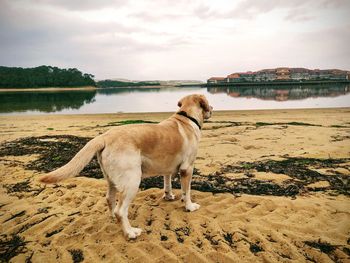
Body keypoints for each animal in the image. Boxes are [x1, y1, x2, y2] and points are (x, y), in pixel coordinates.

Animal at [39, 94, 212, 240]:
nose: (212, 108)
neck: (187, 118)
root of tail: (105, 136)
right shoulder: (187, 168)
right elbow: (186, 191)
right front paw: (189, 206)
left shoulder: (167, 167)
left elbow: (167, 183)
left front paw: (168, 196)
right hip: (132, 181)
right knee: (120, 211)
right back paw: (130, 232)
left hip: (112, 179)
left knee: (110, 200)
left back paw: (113, 219)